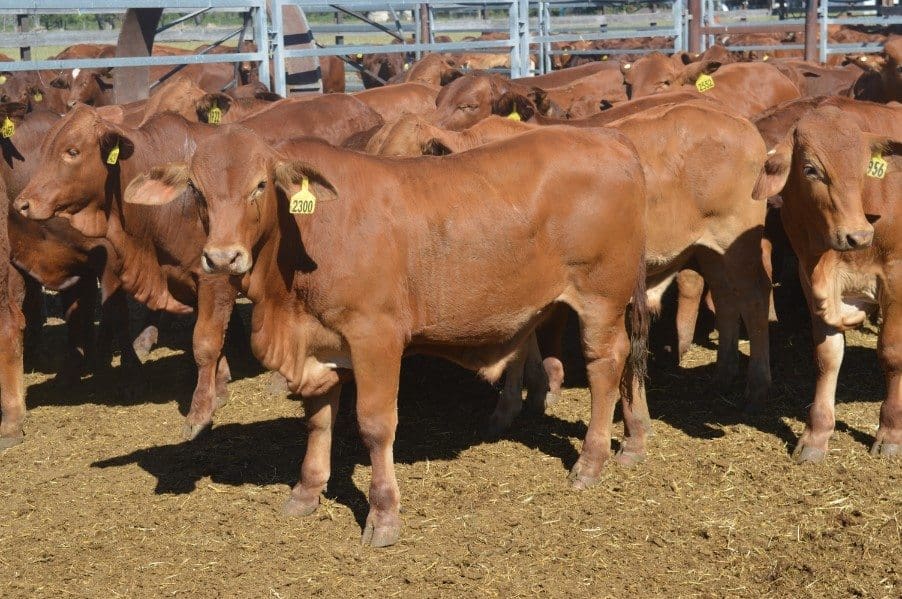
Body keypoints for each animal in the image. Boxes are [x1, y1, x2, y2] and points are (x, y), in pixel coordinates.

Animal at [127, 126, 648, 548]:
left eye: (259, 184)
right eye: (196, 190)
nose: (222, 258)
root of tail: (611, 139)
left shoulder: (374, 336)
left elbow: (375, 425)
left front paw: (383, 515)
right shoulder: (320, 344)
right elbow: (318, 420)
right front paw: (306, 491)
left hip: (600, 298)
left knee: (606, 365)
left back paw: (591, 461)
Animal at [764, 101, 902, 462]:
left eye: (863, 168)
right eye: (811, 169)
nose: (859, 236)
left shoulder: (896, 276)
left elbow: (891, 352)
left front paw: (891, 431)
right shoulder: (808, 276)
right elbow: (827, 357)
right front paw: (816, 434)